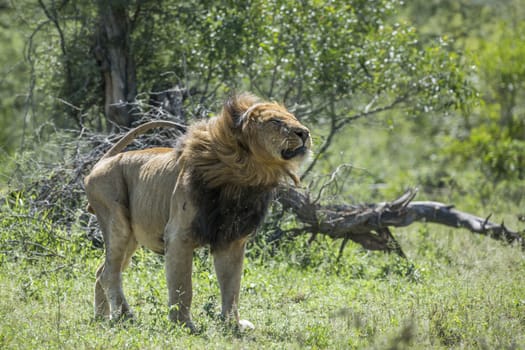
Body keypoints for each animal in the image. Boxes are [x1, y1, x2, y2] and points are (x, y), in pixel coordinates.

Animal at [84, 92, 310, 330]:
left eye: (293, 118)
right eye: (275, 121)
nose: (304, 133)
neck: (244, 174)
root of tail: (102, 162)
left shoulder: (232, 240)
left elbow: (232, 288)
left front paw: (233, 324)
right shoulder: (178, 235)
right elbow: (183, 285)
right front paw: (183, 324)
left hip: (131, 239)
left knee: (102, 270)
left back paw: (102, 316)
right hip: (116, 221)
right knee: (109, 273)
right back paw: (125, 316)